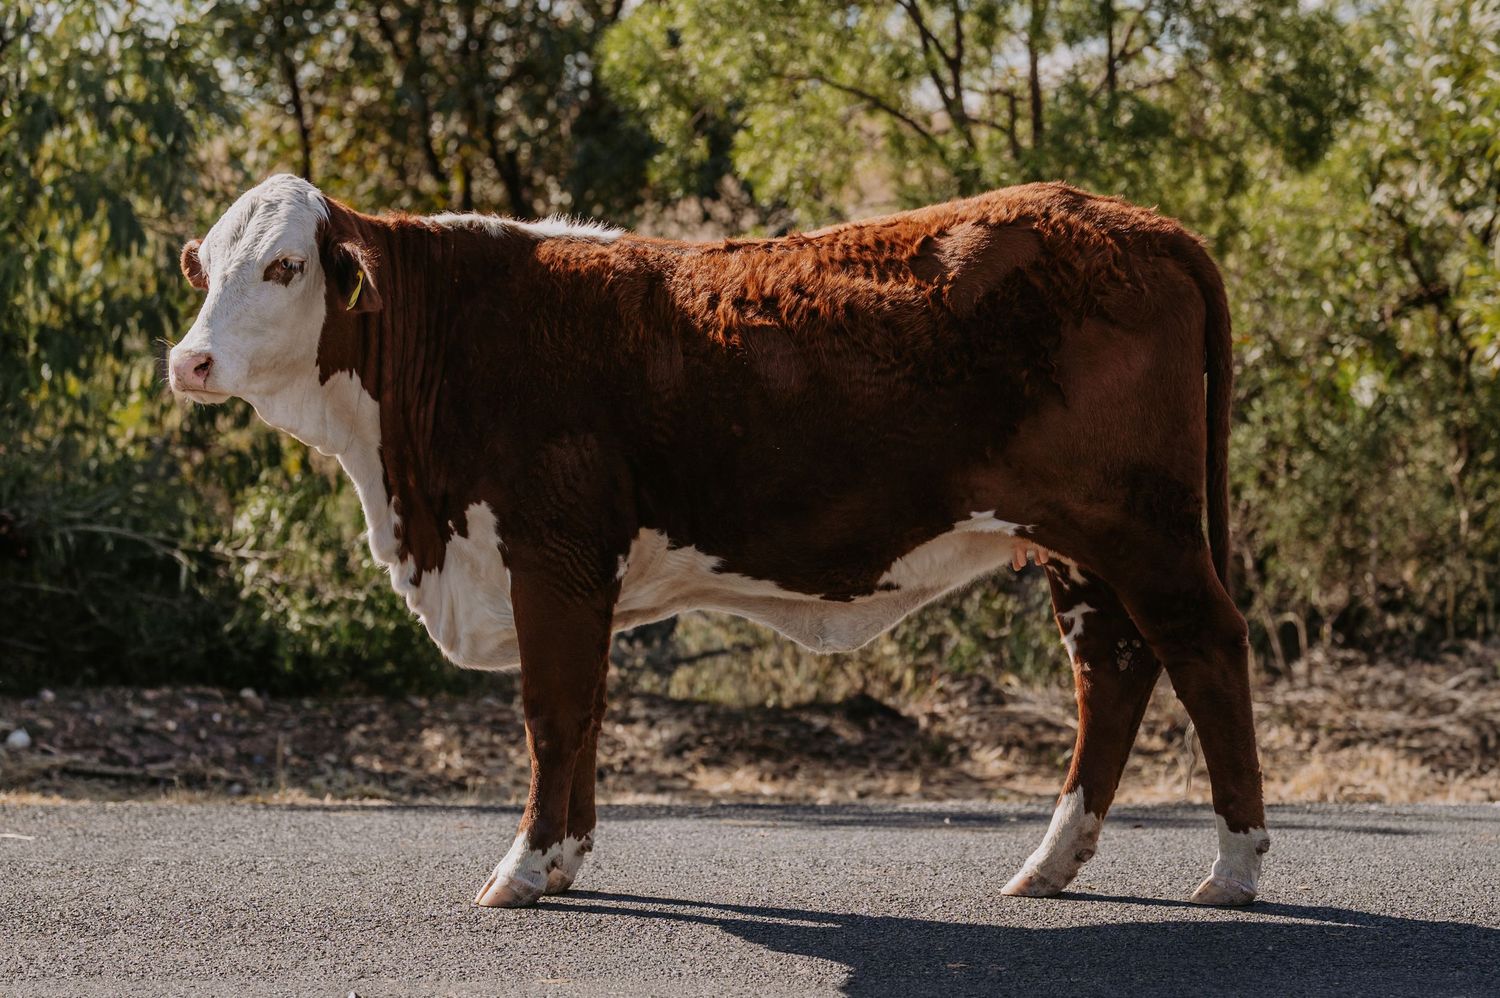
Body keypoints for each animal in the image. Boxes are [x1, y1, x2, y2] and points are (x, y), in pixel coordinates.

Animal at [169, 174, 1268, 909]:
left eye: (283, 267)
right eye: (208, 268)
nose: (190, 360)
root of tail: (1133, 220)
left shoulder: (553, 553)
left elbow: (552, 712)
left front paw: (524, 866)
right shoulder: (578, 572)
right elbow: (587, 711)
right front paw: (564, 859)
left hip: (1145, 525)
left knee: (1206, 649)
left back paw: (1235, 864)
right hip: (1080, 543)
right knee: (1112, 670)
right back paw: (1051, 862)